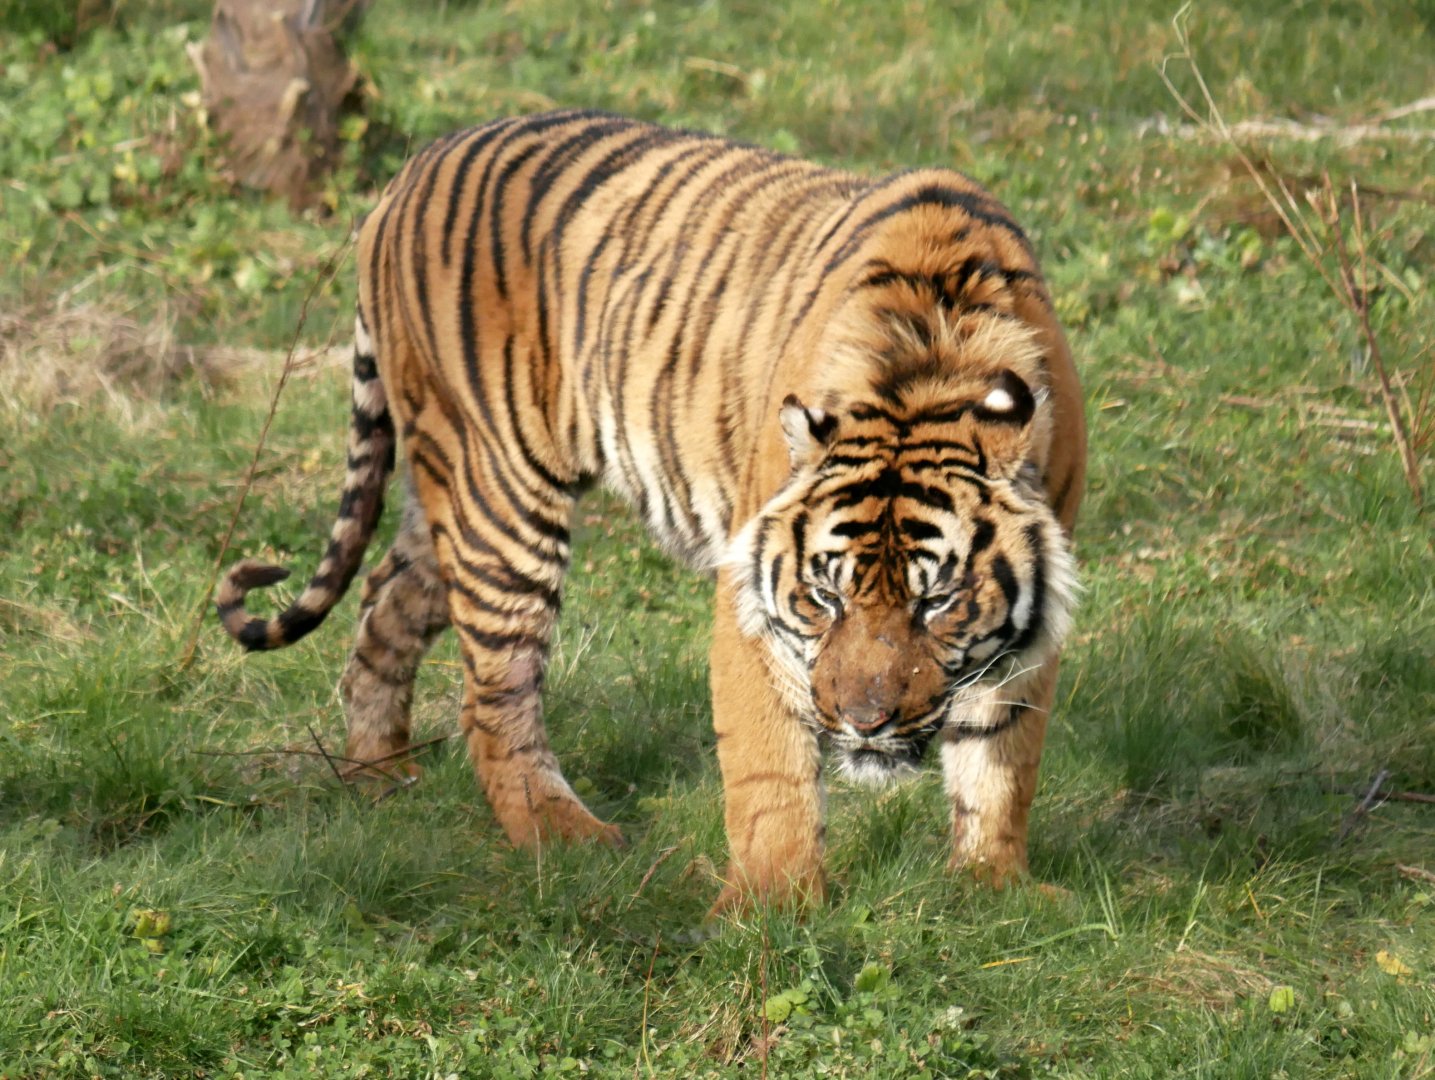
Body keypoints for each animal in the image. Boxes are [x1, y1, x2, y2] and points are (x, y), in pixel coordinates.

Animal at [217, 109, 1086, 913]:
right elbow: (768, 764)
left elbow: (1000, 755)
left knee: (385, 604)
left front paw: (993, 887)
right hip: (497, 493)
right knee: (492, 694)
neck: (930, 366)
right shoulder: (751, 599)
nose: (861, 722)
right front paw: (774, 905)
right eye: (824, 596)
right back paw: (566, 836)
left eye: (935, 602)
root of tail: (410, 171)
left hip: (442, 495)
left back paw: (379, 776)